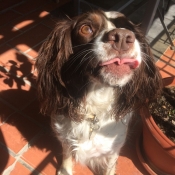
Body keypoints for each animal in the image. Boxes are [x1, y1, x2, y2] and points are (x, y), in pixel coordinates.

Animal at [35, 9, 161, 175]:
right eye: (86, 28)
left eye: (130, 29)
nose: (122, 37)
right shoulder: (64, 136)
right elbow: (67, 154)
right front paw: (65, 170)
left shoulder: (113, 147)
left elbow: (109, 167)